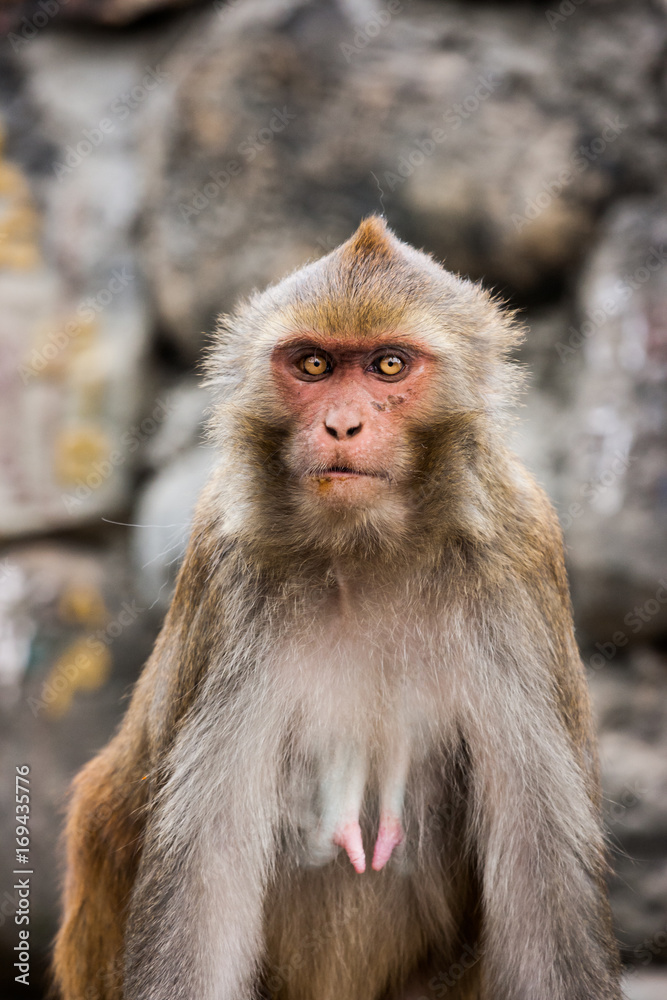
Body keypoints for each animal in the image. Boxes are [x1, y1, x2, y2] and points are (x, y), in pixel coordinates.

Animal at [53, 216, 622, 1000]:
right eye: (315, 366)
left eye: (388, 366)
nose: (343, 426)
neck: (367, 550)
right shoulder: (227, 564)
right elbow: (202, 892)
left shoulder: (518, 558)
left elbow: (547, 895)